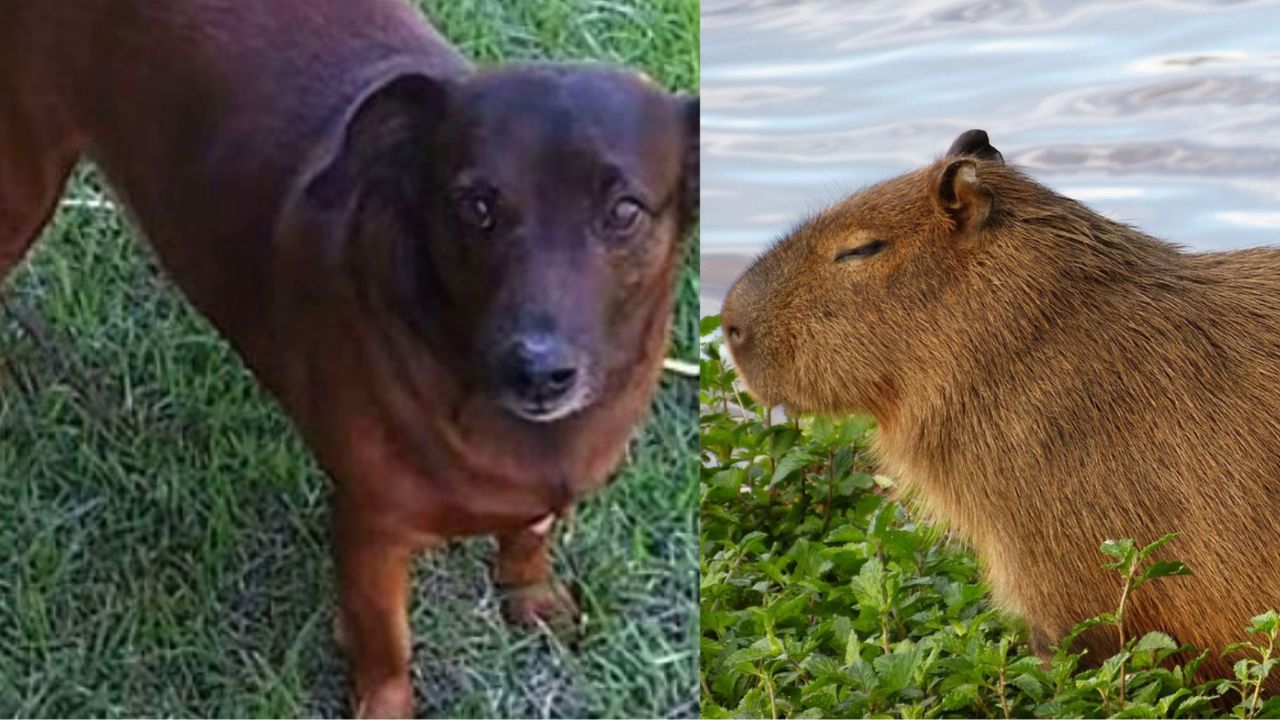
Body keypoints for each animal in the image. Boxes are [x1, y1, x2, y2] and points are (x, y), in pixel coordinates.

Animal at [2, 0, 701, 712]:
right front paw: (386, 705)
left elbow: (528, 537)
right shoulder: (372, 533)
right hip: (22, 186)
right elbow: (386, 643)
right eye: (475, 206)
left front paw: (531, 596)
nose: (536, 370)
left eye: (624, 212)